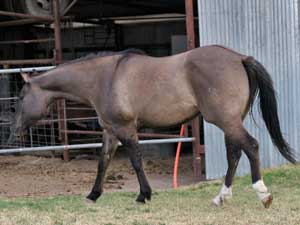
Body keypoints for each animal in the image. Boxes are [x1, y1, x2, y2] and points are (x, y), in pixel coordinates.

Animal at [8, 46, 296, 209]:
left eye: (21, 96)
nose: (14, 132)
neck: (104, 78)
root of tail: (239, 58)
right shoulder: (110, 131)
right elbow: (103, 163)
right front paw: (93, 195)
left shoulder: (126, 129)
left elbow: (136, 162)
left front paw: (143, 195)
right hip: (231, 122)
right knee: (234, 154)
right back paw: (221, 198)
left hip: (226, 121)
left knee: (251, 147)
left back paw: (263, 194)